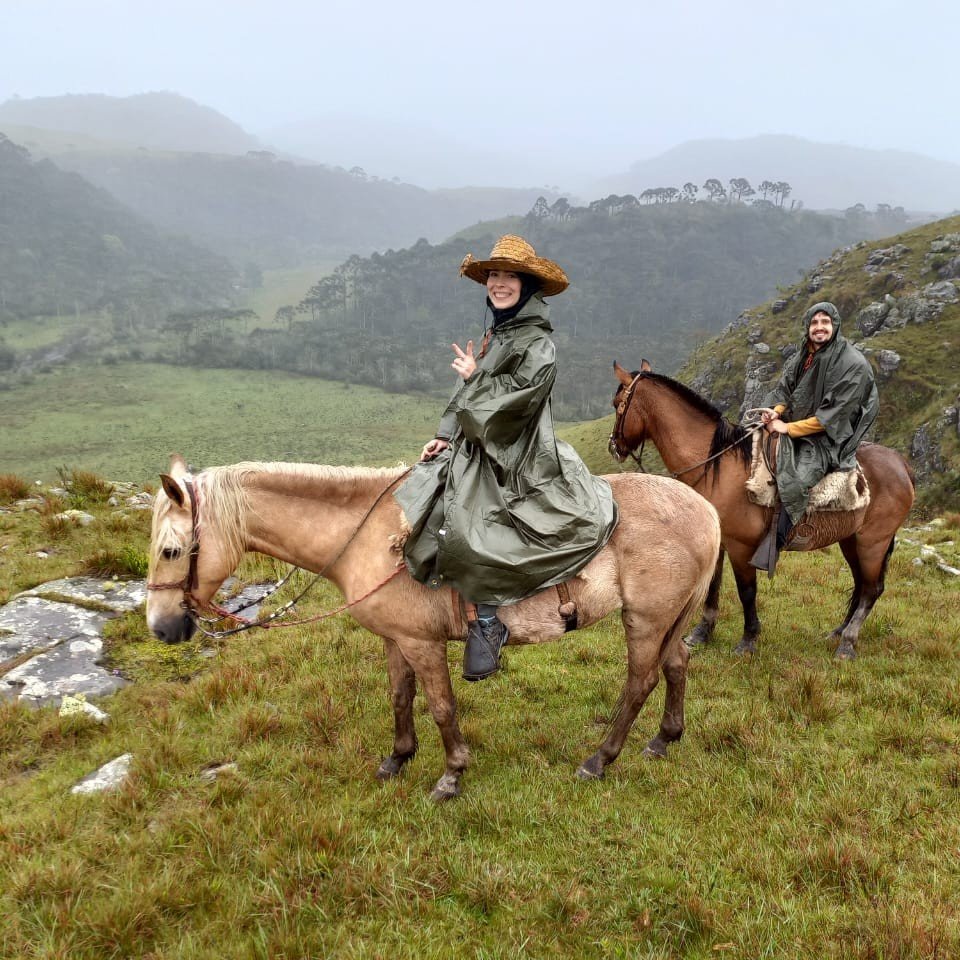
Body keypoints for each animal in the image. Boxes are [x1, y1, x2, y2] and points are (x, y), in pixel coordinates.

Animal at [146, 454, 721, 800]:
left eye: (171, 550)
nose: (161, 629)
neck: (369, 537)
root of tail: (708, 510)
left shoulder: (423, 643)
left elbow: (441, 705)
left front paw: (451, 774)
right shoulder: (395, 639)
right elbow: (400, 697)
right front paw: (397, 758)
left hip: (645, 618)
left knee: (641, 680)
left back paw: (600, 759)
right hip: (670, 619)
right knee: (677, 664)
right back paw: (663, 740)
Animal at [610, 361, 916, 660]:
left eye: (617, 404)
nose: (614, 446)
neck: (717, 466)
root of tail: (901, 464)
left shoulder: (741, 546)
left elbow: (747, 591)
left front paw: (748, 640)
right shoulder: (718, 543)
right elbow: (712, 587)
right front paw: (702, 633)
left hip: (873, 542)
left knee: (871, 589)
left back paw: (848, 643)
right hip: (851, 540)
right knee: (861, 583)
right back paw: (838, 632)